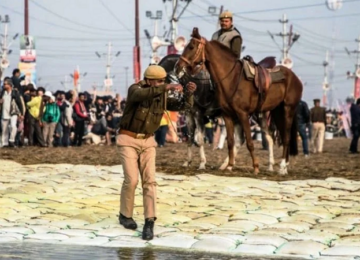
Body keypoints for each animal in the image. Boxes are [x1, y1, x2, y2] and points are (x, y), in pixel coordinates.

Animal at [176, 27, 302, 175]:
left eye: (191, 46)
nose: (178, 67)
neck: (231, 79)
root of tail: (295, 78)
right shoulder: (226, 115)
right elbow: (229, 141)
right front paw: (229, 166)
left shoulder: (241, 114)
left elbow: (248, 142)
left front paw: (255, 167)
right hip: (274, 112)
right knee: (273, 136)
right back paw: (276, 166)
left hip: (288, 109)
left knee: (285, 137)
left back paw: (282, 167)